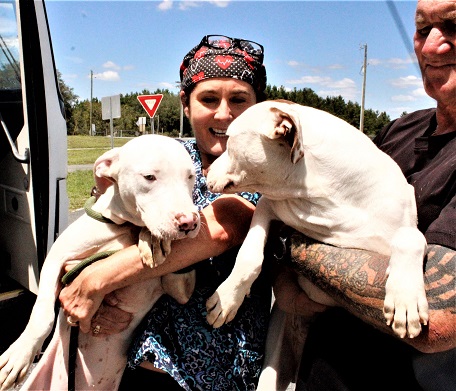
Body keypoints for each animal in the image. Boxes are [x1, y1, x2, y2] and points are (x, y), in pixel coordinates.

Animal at [0, 134, 201, 388]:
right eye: (149, 177)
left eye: (190, 176)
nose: (190, 222)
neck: (125, 227)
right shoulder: (57, 257)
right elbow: (43, 313)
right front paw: (19, 355)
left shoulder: (179, 288)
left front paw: (152, 238)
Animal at [206, 101, 428, 340]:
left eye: (228, 139)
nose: (205, 169)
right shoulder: (269, 205)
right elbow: (249, 255)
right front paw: (228, 298)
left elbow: (410, 236)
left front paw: (406, 297)